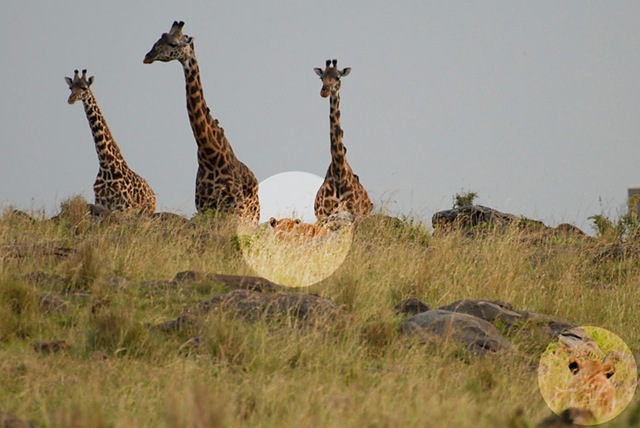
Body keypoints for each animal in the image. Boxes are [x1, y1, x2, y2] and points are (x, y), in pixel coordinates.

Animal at [65, 69, 156, 214]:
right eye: (70, 88)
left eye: (84, 88)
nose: (71, 99)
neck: (106, 164)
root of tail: (153, 194)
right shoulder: (101, 202)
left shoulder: (125, 207)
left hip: (147, 211)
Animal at [143, 21, 260, 225]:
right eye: (158, 39)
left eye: (173, 43)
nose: (147, 56)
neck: (210, 153)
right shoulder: (205, 206)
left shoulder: (234, 208)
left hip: (251, 216)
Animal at [313, 59, 372, 221]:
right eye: (321, 77)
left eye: (338, 77)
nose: (324, 91)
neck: (339, 171)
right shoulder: (323, 213)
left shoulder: (354, 211)